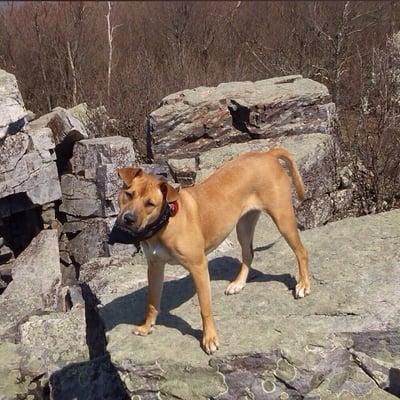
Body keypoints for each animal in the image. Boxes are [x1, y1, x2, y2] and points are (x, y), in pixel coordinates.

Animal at [115, 148, 310, 354]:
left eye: (150, 204)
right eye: (129, 194)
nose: (128, 219)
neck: (164, 222)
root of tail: (267, 154)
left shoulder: (198, 267)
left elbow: (205, 308)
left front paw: (209, 338)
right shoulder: (155, 266)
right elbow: (152, 301)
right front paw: (147, 326)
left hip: (283, 219)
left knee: (301, 251)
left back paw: (304, 285)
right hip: (243, 225)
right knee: (248, 254)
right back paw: (238, 283)